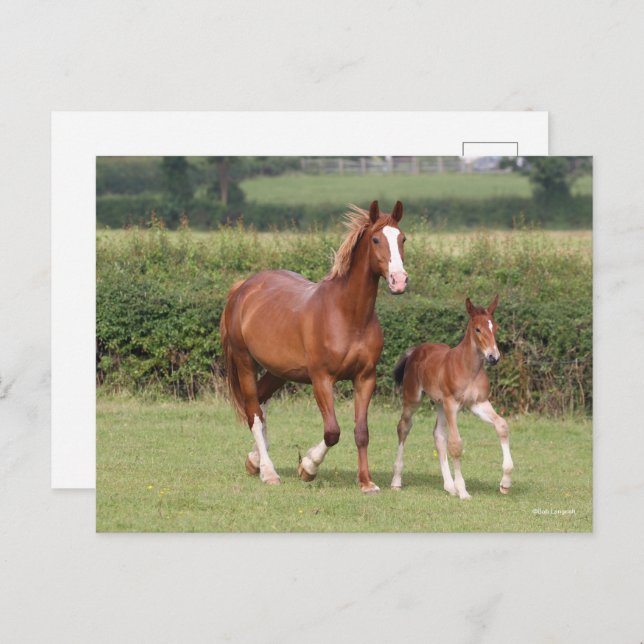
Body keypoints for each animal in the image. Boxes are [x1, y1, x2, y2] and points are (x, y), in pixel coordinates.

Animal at [220, 200, 408, 494]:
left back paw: (254, 461)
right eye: (376, 239)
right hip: (244, 362)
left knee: (261, 402)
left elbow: (361, 432)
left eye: (402, 239)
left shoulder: (365, 378)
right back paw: (268, 472)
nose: (399, 281)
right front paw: (307, 467)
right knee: (254, 412)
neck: (348, 315)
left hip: (279, 371)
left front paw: (366, 482)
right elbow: (332, 431)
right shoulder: (322, 379)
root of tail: (242, 288)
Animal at [390, 295, 513, 499]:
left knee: (438, 435)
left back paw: (449, 486)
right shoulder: (452, 404)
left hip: (440, 404)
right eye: (477, 329)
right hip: (413, 398)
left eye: (495, 327)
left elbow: (502, 425)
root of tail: (415, 350)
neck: (468, 368)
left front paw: (505, 482)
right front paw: (463, 490)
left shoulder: (478, 403)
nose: (493, 357)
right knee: (403, 427)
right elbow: (456, 444)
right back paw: (397, 480)